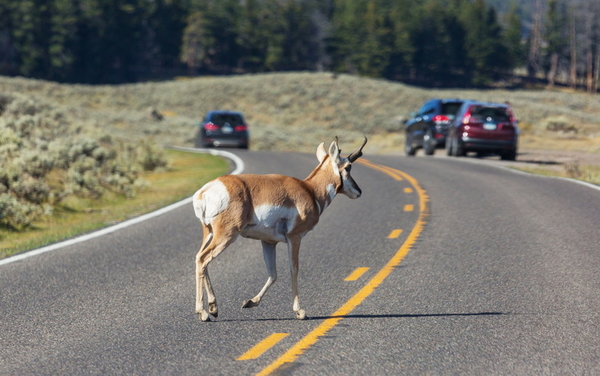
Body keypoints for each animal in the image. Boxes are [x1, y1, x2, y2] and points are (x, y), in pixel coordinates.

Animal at [195, 137, 368, 322]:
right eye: (348, 166)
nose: (359, 191)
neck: (310, 190)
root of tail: (207, 190)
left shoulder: (268, 242)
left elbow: (273, 274)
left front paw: (250, 302)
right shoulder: (295, 237)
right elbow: (294, 269)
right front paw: (300, 311)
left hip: (209, 233)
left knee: (200, 258)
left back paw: (213, 308)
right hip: (226, 235)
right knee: (203, 259)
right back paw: (203, 312)